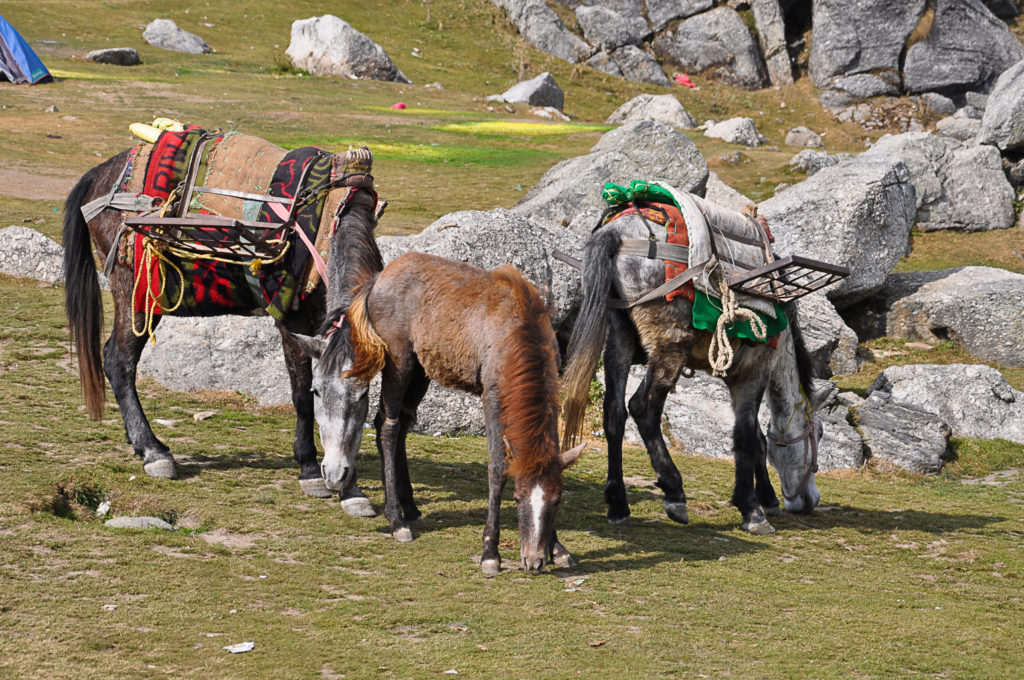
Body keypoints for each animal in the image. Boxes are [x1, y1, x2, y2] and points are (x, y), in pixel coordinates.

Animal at [62, 147, 380, 510]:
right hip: (137, 291)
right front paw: (310, 469)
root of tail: (100, 175)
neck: (329, 229)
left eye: (363, 397)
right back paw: (153, 452)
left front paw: (353, 493)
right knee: (119, 361)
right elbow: (300, 396)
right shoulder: (291, 323)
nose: (337, 474)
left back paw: (138, 443)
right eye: (319, 393)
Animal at [296, 253, 585, 573]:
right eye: (518, 497)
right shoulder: (492, 397)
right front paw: (490, 552)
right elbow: (497, 469)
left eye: (557, 500)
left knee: (398, 425)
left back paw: (409, 508)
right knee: (387, 426)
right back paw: (396, 519)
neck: (518, 332)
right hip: (399, 363)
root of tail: (377, 281)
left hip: (420, 371)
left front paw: (558, 548)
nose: (533, 560)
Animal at [561, 209, 823, 532]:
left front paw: (765, 499)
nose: (810, 501)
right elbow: (747, 436)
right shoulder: (754, 370)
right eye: (818, 434)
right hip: (669, 344)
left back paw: (618, 504)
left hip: (618, 337)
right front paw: (753, 510)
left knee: (614, 412)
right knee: (643, 407)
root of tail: (617, 232)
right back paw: (674, 491)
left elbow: (755, 438)